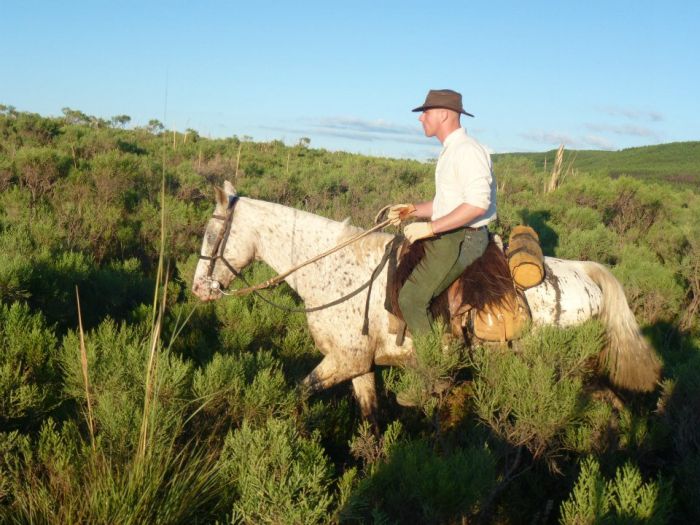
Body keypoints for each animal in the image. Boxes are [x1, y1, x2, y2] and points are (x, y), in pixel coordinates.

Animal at [191, 182, 660, 416]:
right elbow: (371, 419)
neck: (334, 271)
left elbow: (298, 391)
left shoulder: (341, 361)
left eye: (213, 235)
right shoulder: (360, 366)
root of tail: (587, 273)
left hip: (565, 371)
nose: (198, 290)